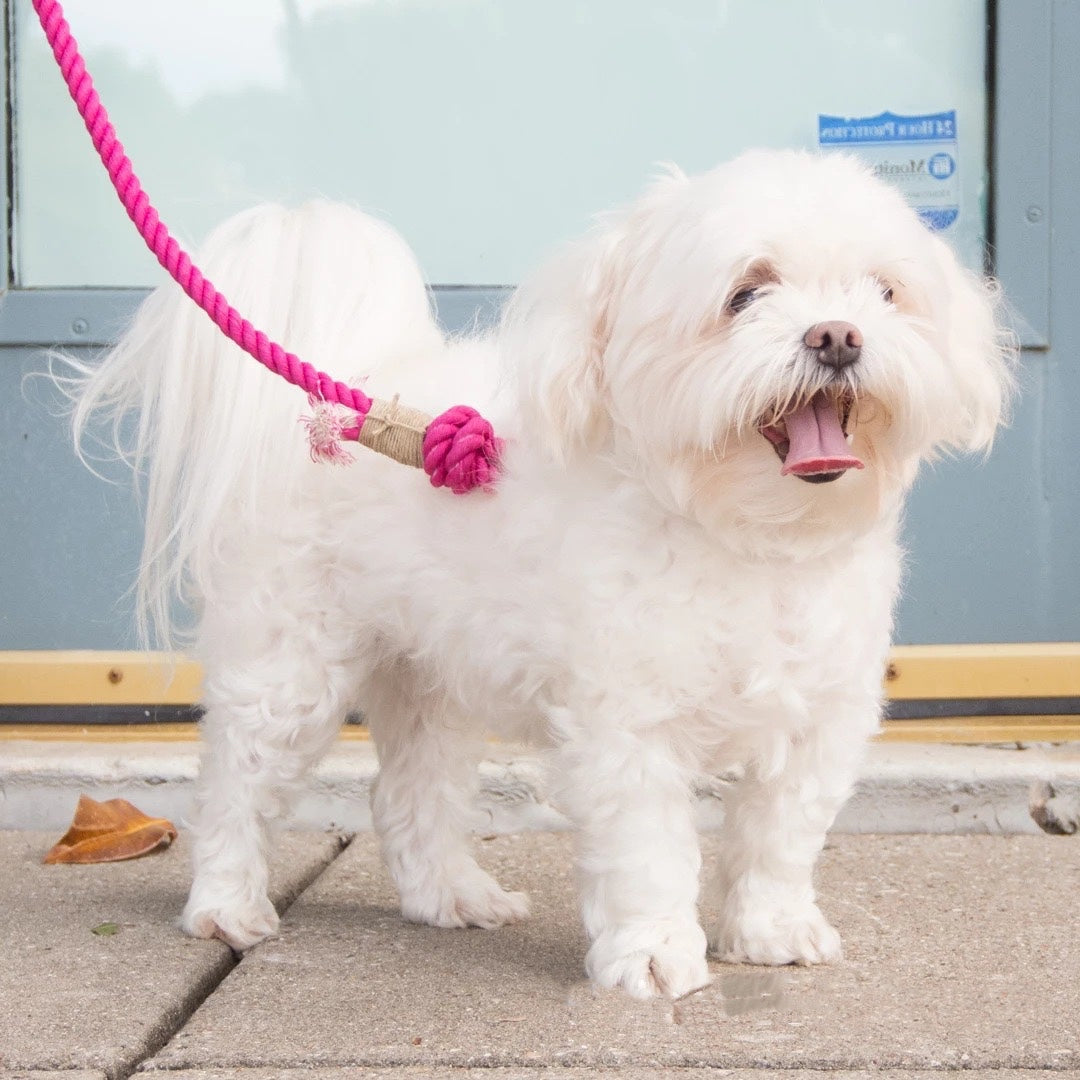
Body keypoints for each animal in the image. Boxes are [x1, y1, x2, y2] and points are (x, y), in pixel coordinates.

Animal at [71, 150, 1015, 993]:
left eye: (884, 292)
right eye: (746, 292)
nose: (837, 337)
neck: (748, 538)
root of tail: (343, 397)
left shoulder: (818, 716)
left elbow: (780, 837)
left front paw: (771, 930)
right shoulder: (629, 726)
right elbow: (648, 849)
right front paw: (655, 956)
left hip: (432, 673)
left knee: (408, 794)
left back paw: (450, 894)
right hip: (290, 665)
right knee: (237, 781)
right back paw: (226, 905)